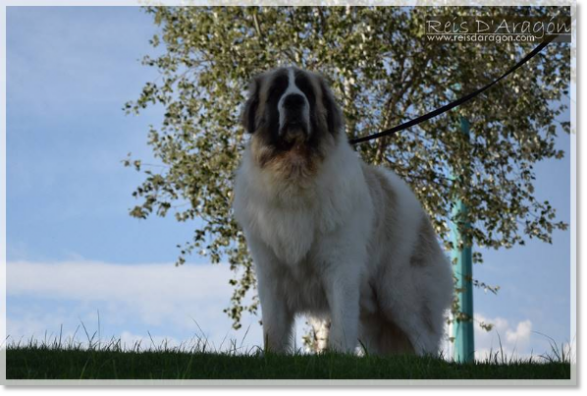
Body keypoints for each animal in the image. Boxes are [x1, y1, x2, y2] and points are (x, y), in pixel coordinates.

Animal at [233, 65, 454, 356]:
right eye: (277, 90)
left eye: (306, 91)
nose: (293, 101)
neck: (295, 170)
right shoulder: (271, 273)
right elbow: (275, 330)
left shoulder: (341, 269)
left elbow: (340, 324)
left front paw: (337, 355)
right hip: (376, 316)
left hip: (400, 293)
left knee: (424, 338)